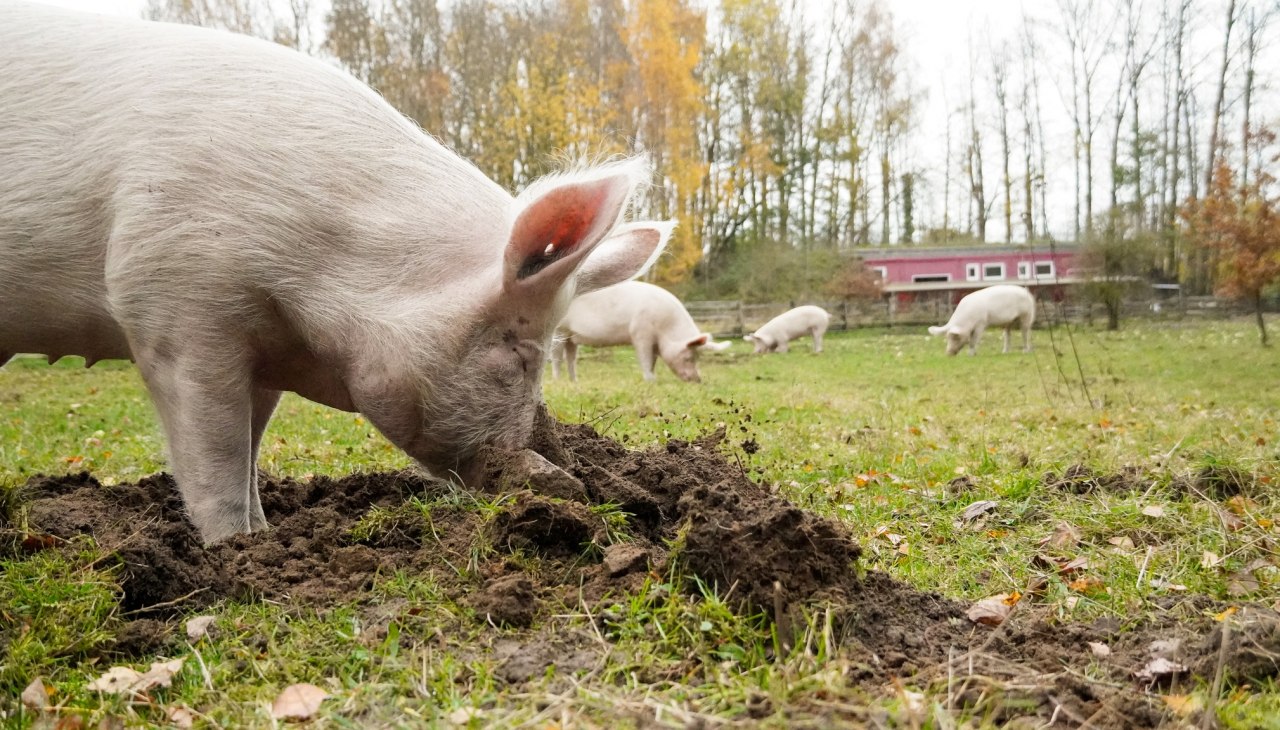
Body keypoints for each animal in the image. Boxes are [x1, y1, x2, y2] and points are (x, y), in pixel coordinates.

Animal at [0, 2, 673, 544]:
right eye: (518, 354)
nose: (567, 484)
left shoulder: (263, 349)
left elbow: (251, 448)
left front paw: (263, 534)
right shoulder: (173, 308)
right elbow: (217, 457)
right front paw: (236, 553)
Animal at [551, 280, 730, 382]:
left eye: (697, 357)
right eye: (688, 357)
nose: (698, 379)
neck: (666, 328)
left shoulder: (655, 342)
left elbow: (653, 360)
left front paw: (653, 377)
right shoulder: (641, 333)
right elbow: (645, 357)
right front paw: (650, 380)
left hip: (570, 335)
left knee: (571, 358)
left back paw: (574, 381)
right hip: (559, 329)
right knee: (557, 357)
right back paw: (558, 381)